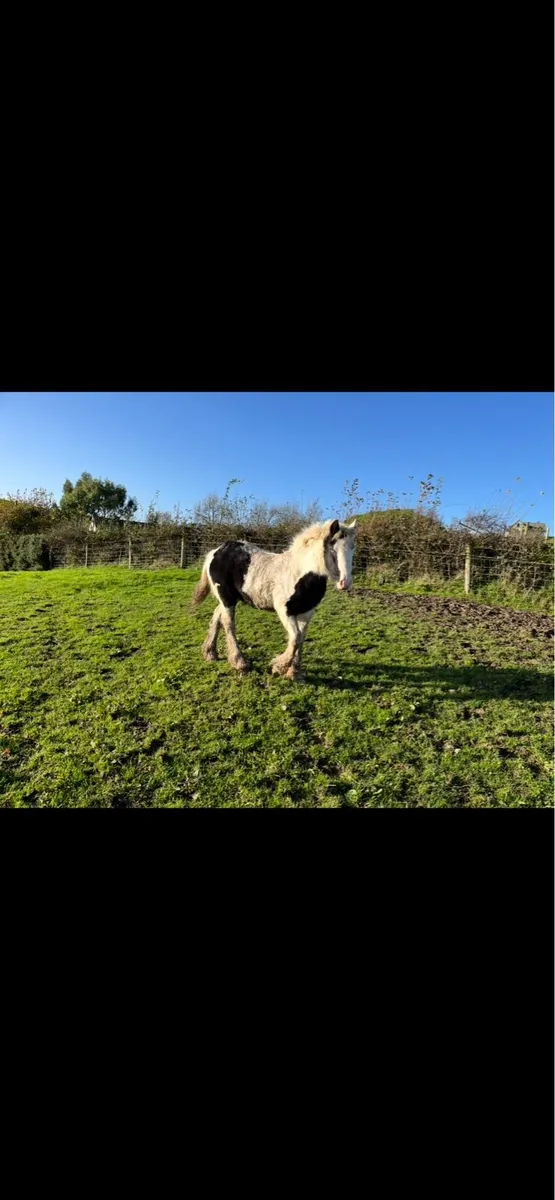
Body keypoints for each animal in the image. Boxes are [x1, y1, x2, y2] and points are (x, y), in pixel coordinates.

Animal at [191, 518, 357, 681]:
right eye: (332, 544)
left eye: (352, 546)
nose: (345, 582)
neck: (300, 574)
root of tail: (216, 551)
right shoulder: (284, 611)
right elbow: (295, 638)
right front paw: (279, 666)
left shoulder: (307, 612)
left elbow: (301, 638)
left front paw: (294, 673)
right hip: (227, 598)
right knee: (228, 624)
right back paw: (240, 663)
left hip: (228, 598)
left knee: (217, 615)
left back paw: (210, 653)